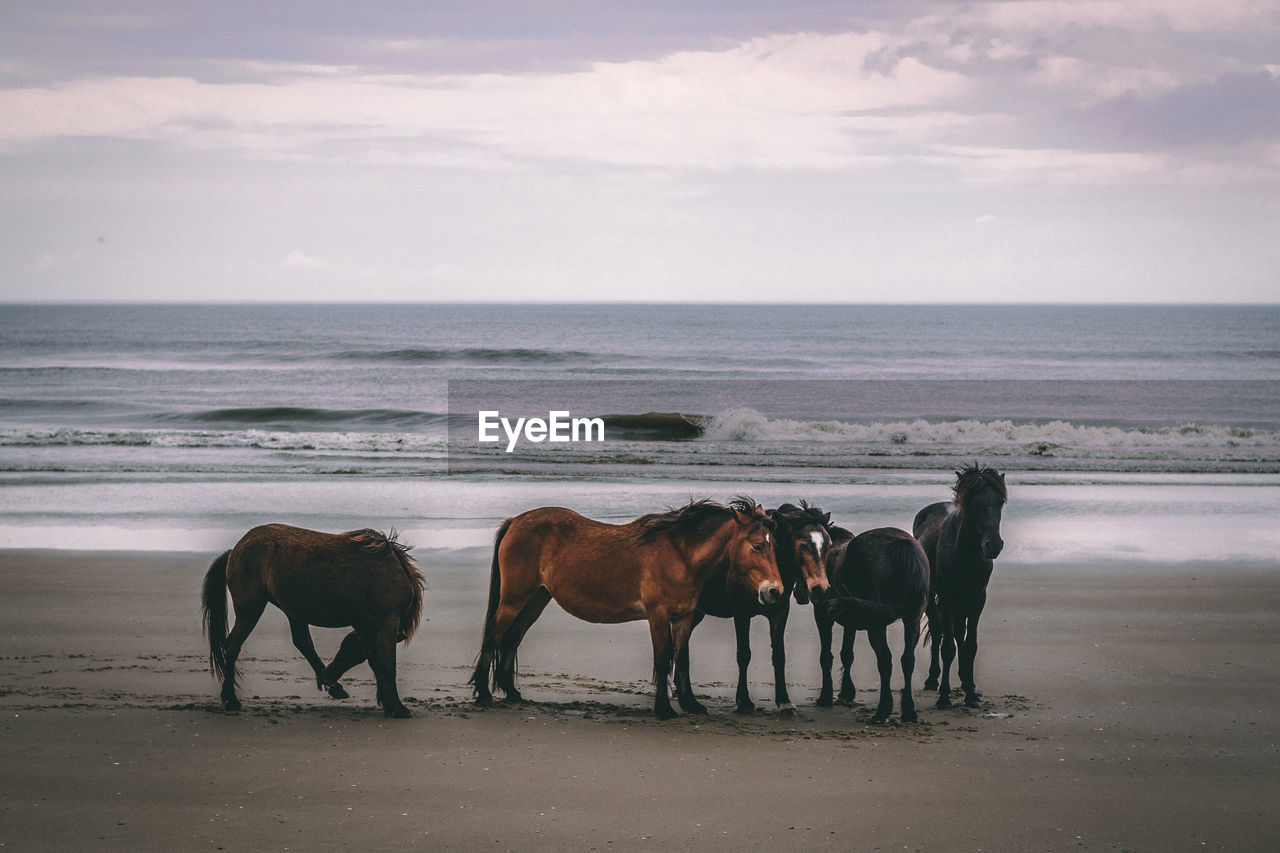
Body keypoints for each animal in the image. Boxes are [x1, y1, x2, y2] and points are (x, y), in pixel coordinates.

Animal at [199, 522, 427, 712]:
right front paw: (396, 706)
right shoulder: (384, 622)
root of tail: (235, 549)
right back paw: (231, 699)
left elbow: (377, 660)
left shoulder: (367, 625)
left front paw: (387, 701)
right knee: (232, 646)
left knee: (303, 643)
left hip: (291, 611)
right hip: (250, 610)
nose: (330, 675)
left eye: (349, 649)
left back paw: (334, 687)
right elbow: (385, 663)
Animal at [471, 494, 778, 712]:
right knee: (493, 636)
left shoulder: (684, 617)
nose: (774, 591)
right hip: (513, 599)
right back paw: (484, 695)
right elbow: (663, 659)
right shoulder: (658, 615)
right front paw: (664, 709)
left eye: (774, 545)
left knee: (512, 639)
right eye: (757, 546)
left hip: (536, 599)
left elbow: (682, 659)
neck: (680, 555)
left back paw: (512, 693)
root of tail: (516, 521)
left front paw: (691, 704)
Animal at [696, 502, 834, 712]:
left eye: (829, 545)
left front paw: (784, 700)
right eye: (803, 544)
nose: (821, 589)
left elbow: (779, 655)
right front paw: (744, 701)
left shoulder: (780, 612)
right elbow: (744, 655)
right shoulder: (741, 613)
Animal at [819, 525, 931, 717]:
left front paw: (825, 697)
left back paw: (882, 710)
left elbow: (826, 656)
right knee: (908, 660)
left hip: (876, 625)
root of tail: (900, 543)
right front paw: (846, 692)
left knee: (885, 661)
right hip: (912, 621)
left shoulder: (822, 615)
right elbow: (847, 654)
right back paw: (908, 711)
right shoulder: (850, 621)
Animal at [911, 461, 1008, 706]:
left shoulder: (977, 599)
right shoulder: (948, 598)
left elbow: (970, 644)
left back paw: (965, 681)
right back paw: (932, 679)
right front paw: (944, 697)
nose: (994, 545)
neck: (965, 554)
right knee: (938, 631)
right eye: (973, 503)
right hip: (934, 597)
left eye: (999, 502)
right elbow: (947, 647)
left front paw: (971, 694)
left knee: (958, 633)